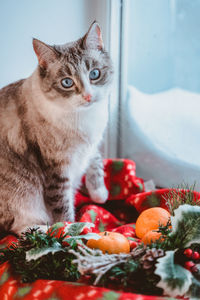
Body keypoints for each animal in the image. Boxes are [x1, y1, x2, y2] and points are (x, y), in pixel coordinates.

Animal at [0, 22, 113, 236]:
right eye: (67, 82)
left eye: (94, 74)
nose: (88, 96)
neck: (83, 116)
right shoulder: (57, 171)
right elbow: (63, 208)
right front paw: (73, 230)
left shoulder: (92, 143)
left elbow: (95, 161)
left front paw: (99, 193)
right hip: (24, 196)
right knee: (17, 227)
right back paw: (41, 230)